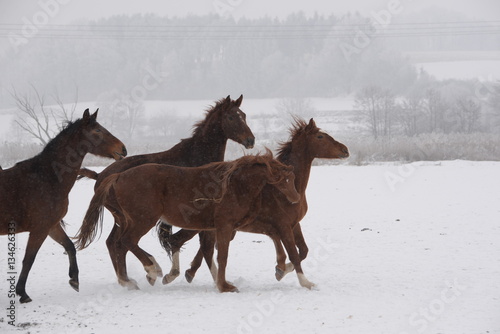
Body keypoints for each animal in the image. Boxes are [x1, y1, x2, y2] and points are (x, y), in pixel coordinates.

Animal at [0, 109, 127, 302]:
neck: (48, 177)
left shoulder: (51, 227)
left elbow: (70, 247)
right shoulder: (39, 229)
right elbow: (29, 259)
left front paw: (74, 280)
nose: (122, 149)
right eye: (97, 130)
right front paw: (23, 293)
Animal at [75, 153, 300, 292]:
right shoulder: (225, 225)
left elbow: (210, 253)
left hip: (125, 220)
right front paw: (225, 286)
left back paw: (130, 280)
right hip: (143, 219)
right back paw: (152, 269)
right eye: (285, 180)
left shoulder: (218, 227)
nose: (296, 199)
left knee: (117, 245)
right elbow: (221, 255)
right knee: (126, 242)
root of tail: (118, 176)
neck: (235, 185)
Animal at [159, 118, 348, 288]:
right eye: (320, 137)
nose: (345, 150)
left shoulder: (293, 224)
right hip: (199, 225)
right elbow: (294, 254)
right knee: (180, 241)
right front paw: (303, 281)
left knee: (199, 247)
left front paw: (280, 270)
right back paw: (176, 275)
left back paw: (191, 274)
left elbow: (303, 251)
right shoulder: (283, 225)